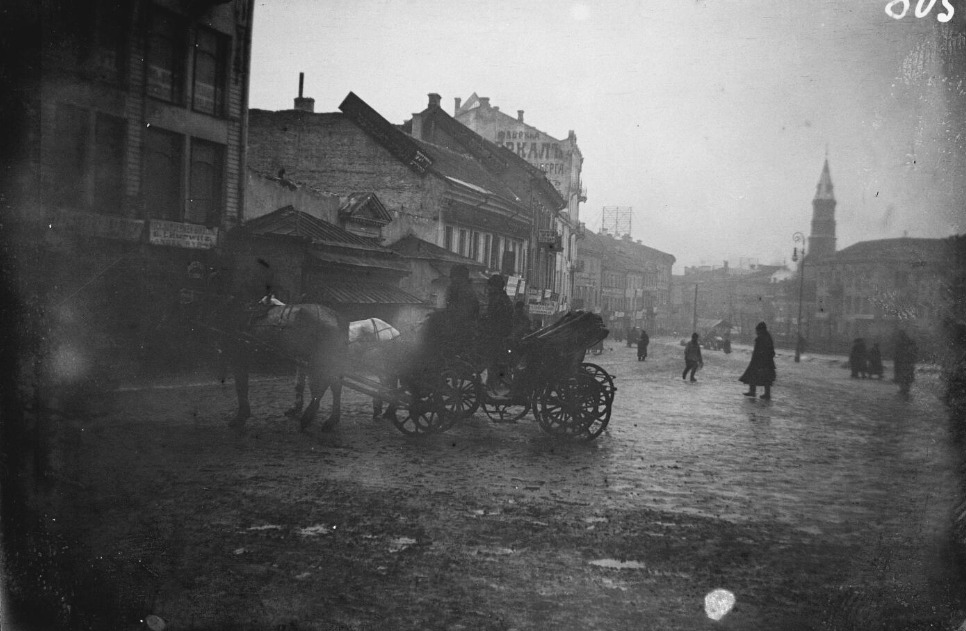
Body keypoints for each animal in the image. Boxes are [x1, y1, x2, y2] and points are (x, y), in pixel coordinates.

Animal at [214, 300, 348, 431]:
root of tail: (336, 316)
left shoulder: (238, 359)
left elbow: (241, 387)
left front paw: (241, 417)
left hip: (322, 360)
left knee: (329, 385)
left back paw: (314, 417)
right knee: (331, 385)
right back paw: (325, 417)